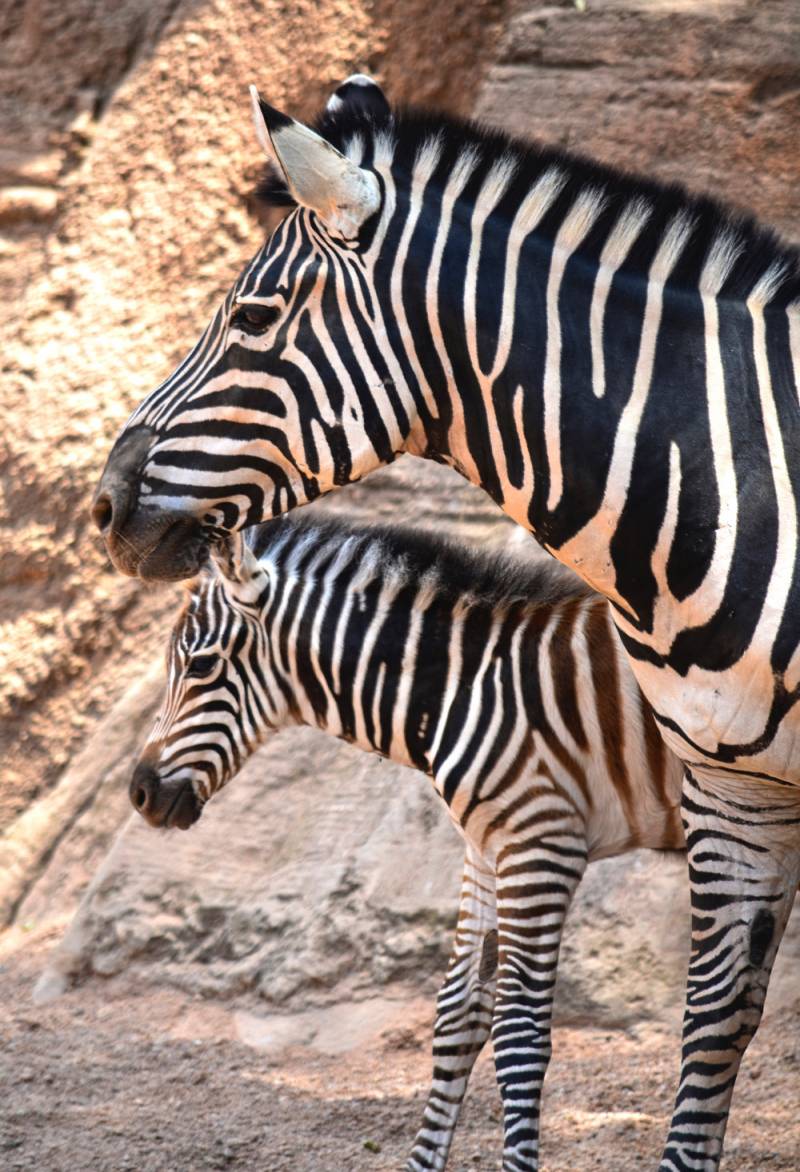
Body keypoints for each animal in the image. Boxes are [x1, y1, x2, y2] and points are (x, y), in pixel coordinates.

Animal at [134, 515, 684, 1172]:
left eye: (200, 666)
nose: (139, 792)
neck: (466, 687)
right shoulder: (485, 846)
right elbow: (456, 1014)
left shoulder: (541, 841)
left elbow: (520, 1033)